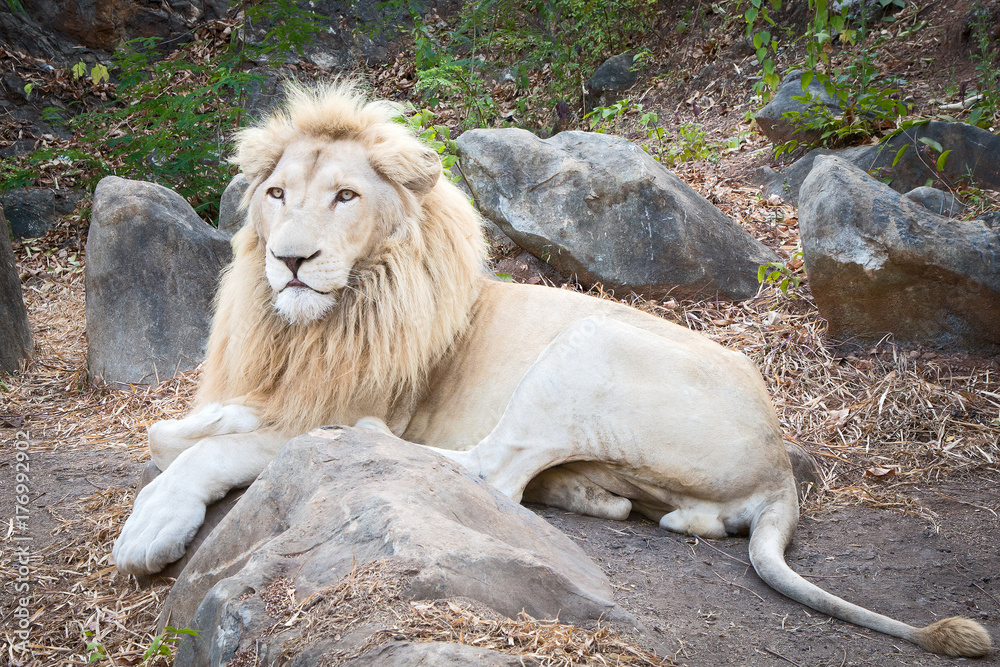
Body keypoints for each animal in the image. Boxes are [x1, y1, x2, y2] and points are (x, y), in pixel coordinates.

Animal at [112, 82, 991, 658]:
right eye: (276, 194)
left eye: (344, 197)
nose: (291, 260)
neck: (312, 325)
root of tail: (782, 469)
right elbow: (173, 431)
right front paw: (191, 427)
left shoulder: (347, 404)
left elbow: (214, 448)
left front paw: (151, 525)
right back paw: (601, 496)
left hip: (584, 343)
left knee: (489, 472)